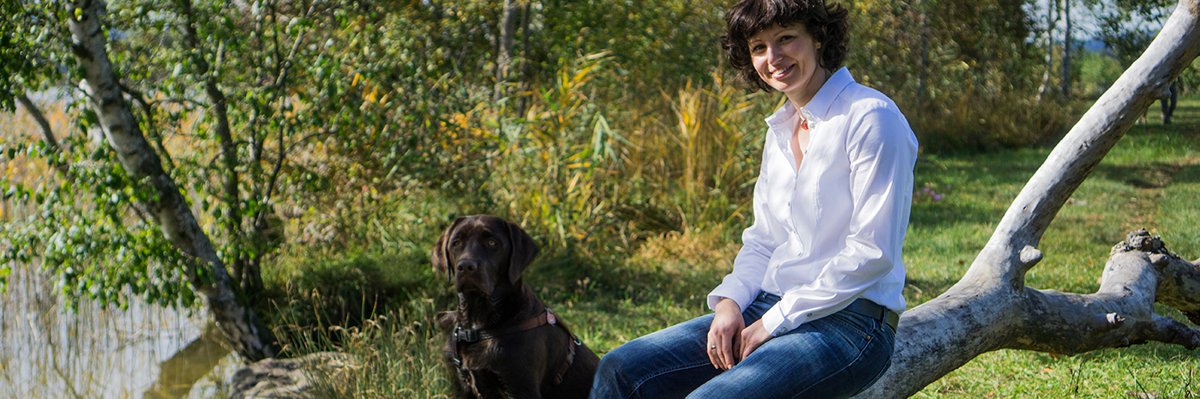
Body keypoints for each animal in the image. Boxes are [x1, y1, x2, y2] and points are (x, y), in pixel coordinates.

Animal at [432, 215, 600, 399]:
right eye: (456, 243)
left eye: (492, 242)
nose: (466, 266)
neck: (479, 326)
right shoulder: (462, 387)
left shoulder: (521, 387)